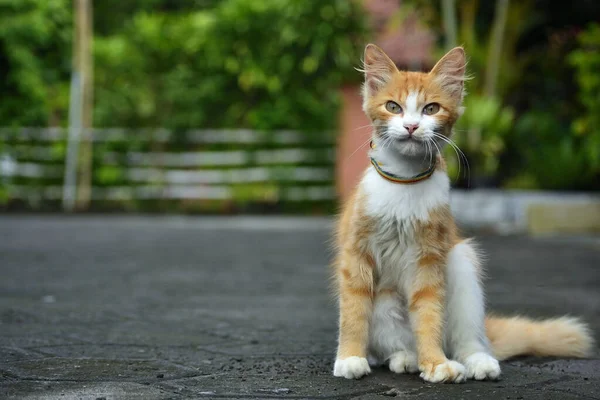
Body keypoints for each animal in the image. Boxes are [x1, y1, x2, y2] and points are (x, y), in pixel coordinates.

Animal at [332, 42, 596, 382]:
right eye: (393, 107)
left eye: (431, 109)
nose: (411, 126)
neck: (405, 180)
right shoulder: (357, 252)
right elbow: (353, 311)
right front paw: (350, 357)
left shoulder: (429, 257)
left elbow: (428, 314)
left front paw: (435, 363)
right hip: (388, 305)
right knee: (395, 343)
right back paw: (406, 358)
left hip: (462, 263)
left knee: (466, 340)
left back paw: (474, 362)